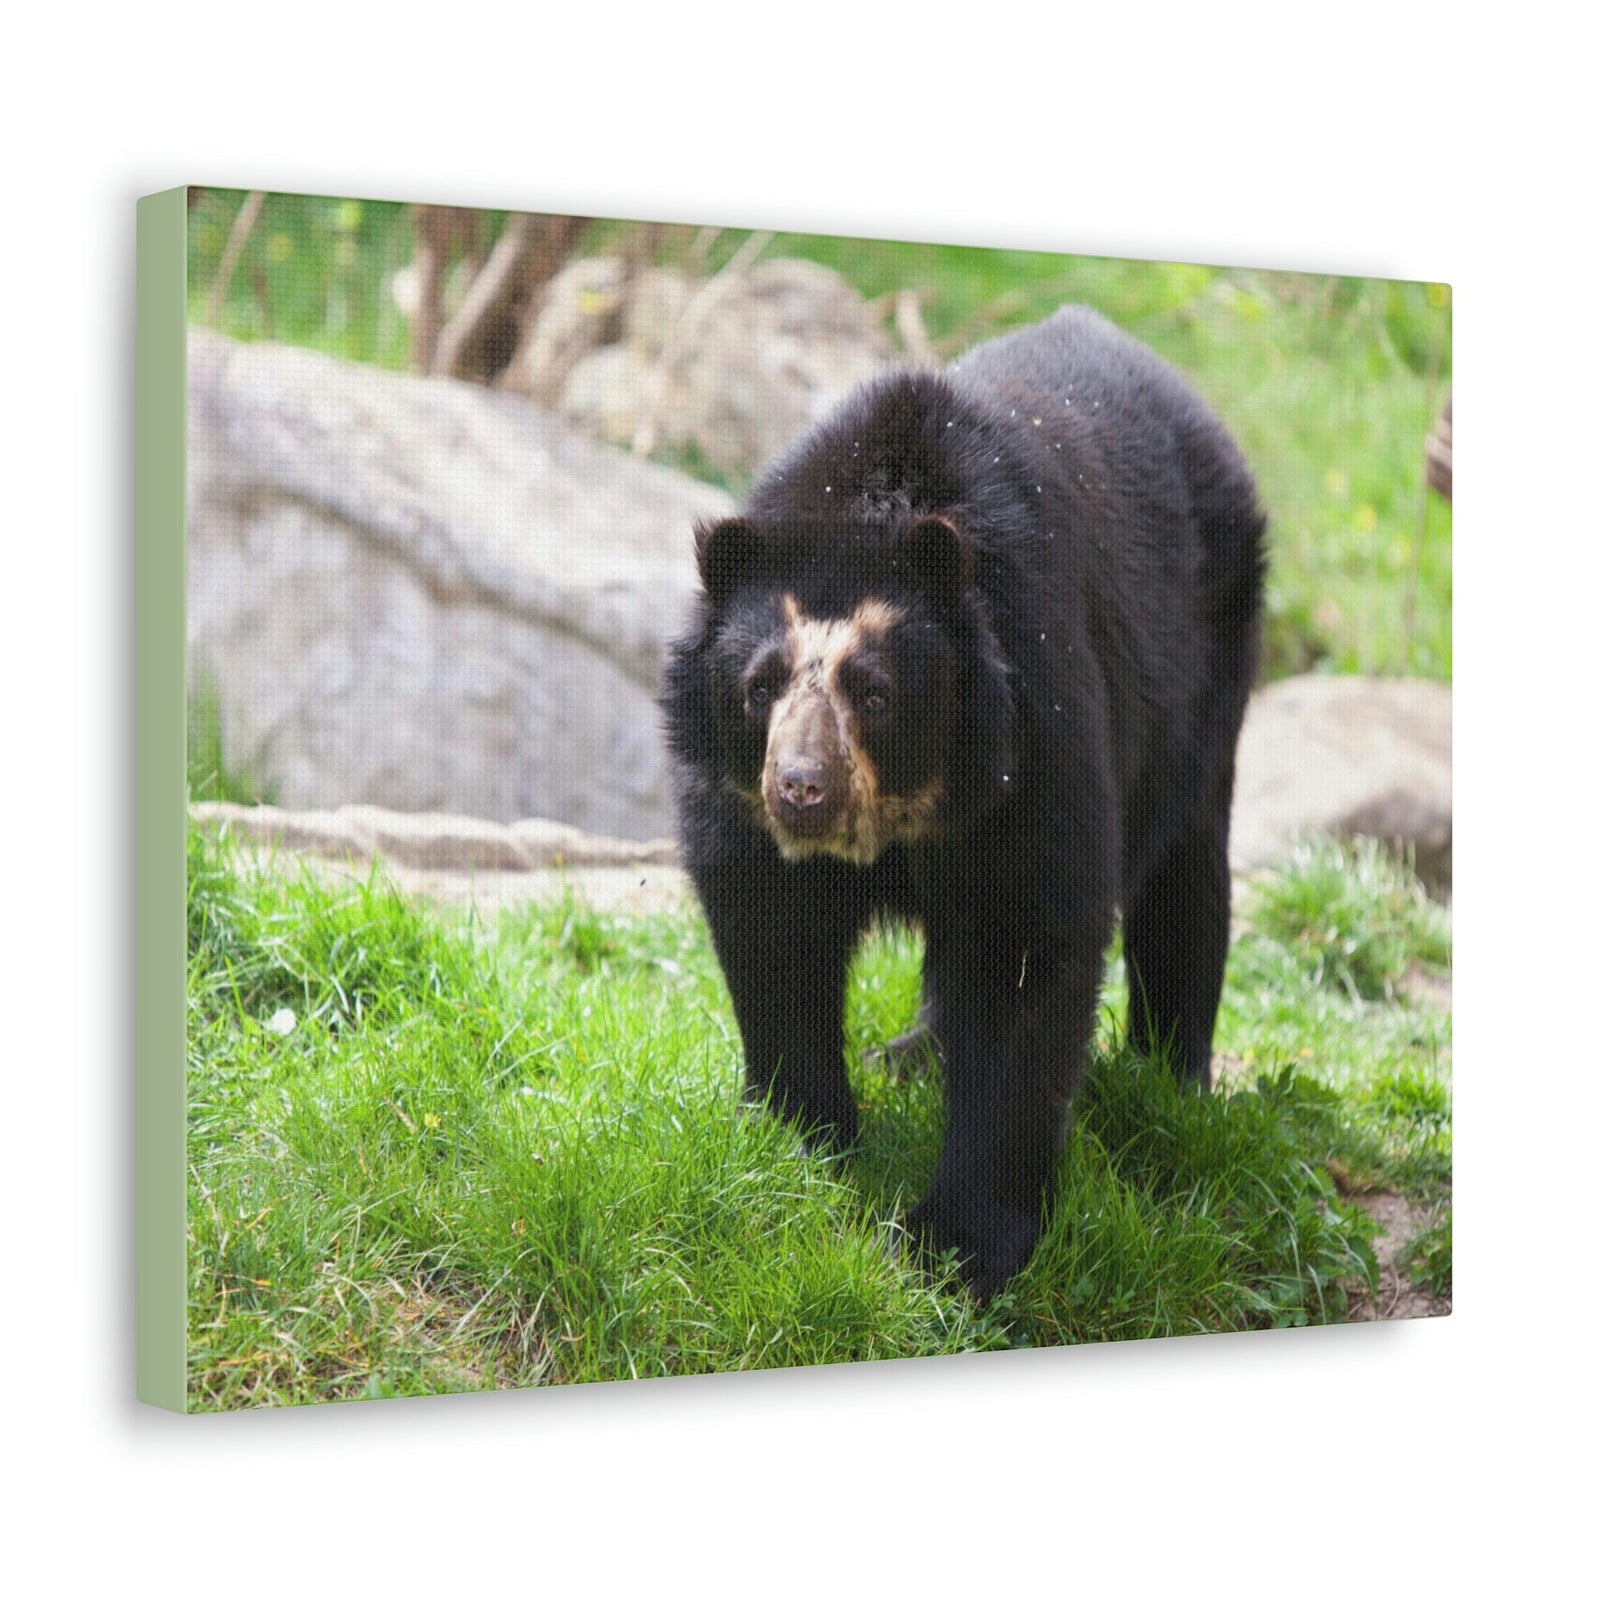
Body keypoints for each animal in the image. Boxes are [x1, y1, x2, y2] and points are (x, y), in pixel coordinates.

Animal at [660, 305, 1265, 1298]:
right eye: (759, 687)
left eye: (873, 692)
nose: (801, 790)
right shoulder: (731, 796)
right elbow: (772, 927)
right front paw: (799, 1141)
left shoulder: (1035, 729)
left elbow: (1028, 946)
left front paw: (956, 1248)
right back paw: (909, 1056)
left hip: (1207, 671)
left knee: (1185, 881)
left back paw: (1171, 1084)